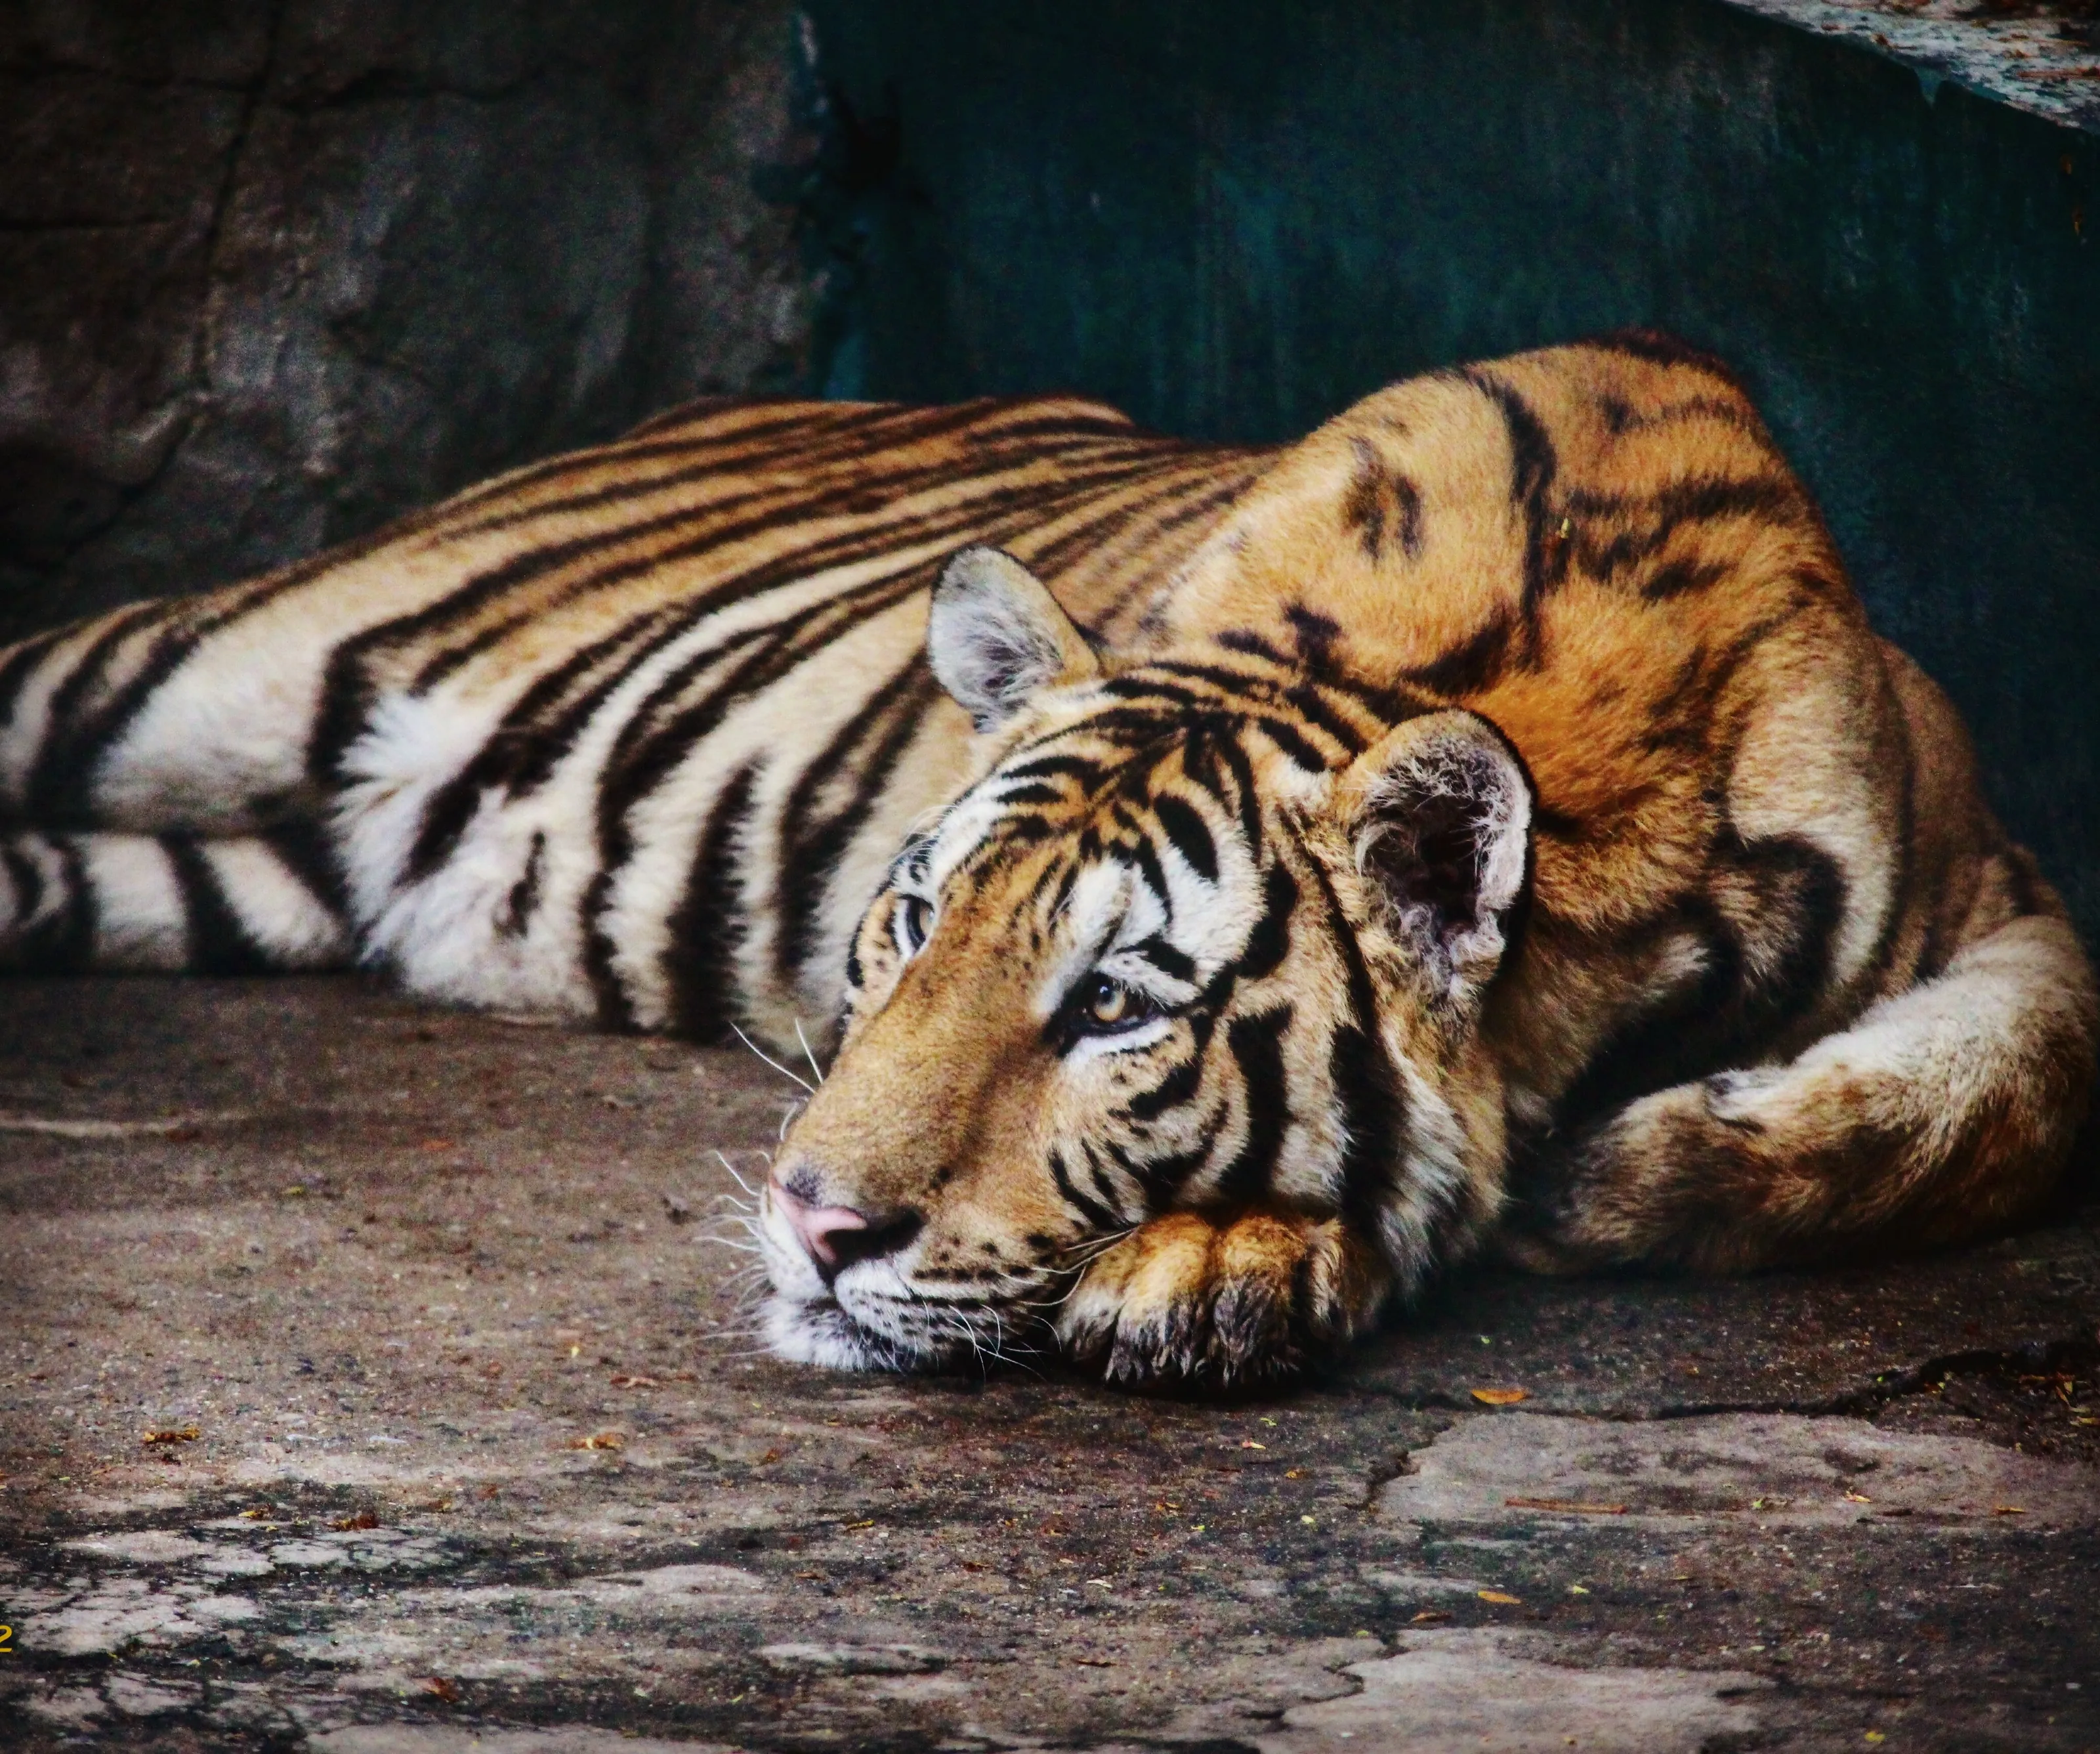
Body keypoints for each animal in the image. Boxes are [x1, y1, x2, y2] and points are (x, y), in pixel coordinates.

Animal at [2, 334, 2091, 1390]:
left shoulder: (2002, 882)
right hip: (190, 674)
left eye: (1108, 1009)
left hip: (244, 874)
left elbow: (1997, 1085)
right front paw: (1243, 1258)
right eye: (912, 925)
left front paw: (1617, 1169)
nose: (807, 1226)